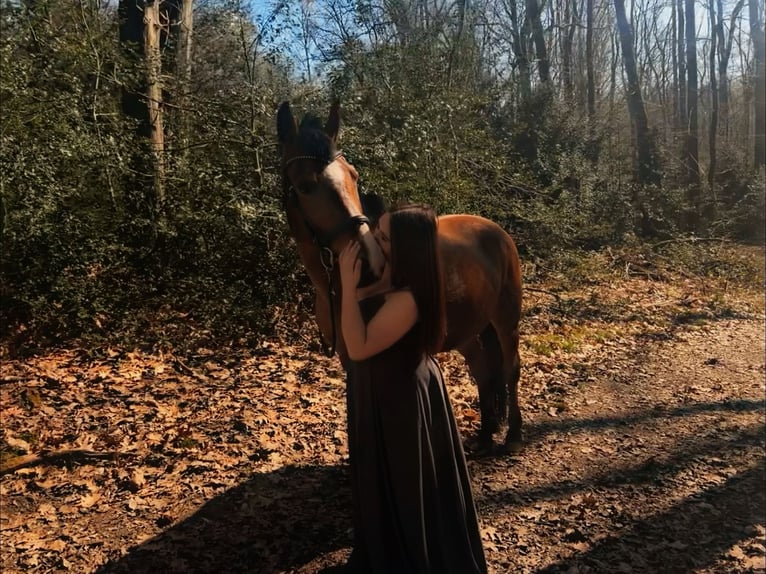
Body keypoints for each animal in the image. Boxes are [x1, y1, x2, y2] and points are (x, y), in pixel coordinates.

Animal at [276, 101, 523, 454]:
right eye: (305, 185)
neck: (335, 288)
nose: (369, 260)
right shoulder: (350, 358)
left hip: (506, 319)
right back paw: (486, 434)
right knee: (484, 372)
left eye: (353, 175)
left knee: (509, 369)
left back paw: (514, 433)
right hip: (468, 330)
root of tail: (495, 230)